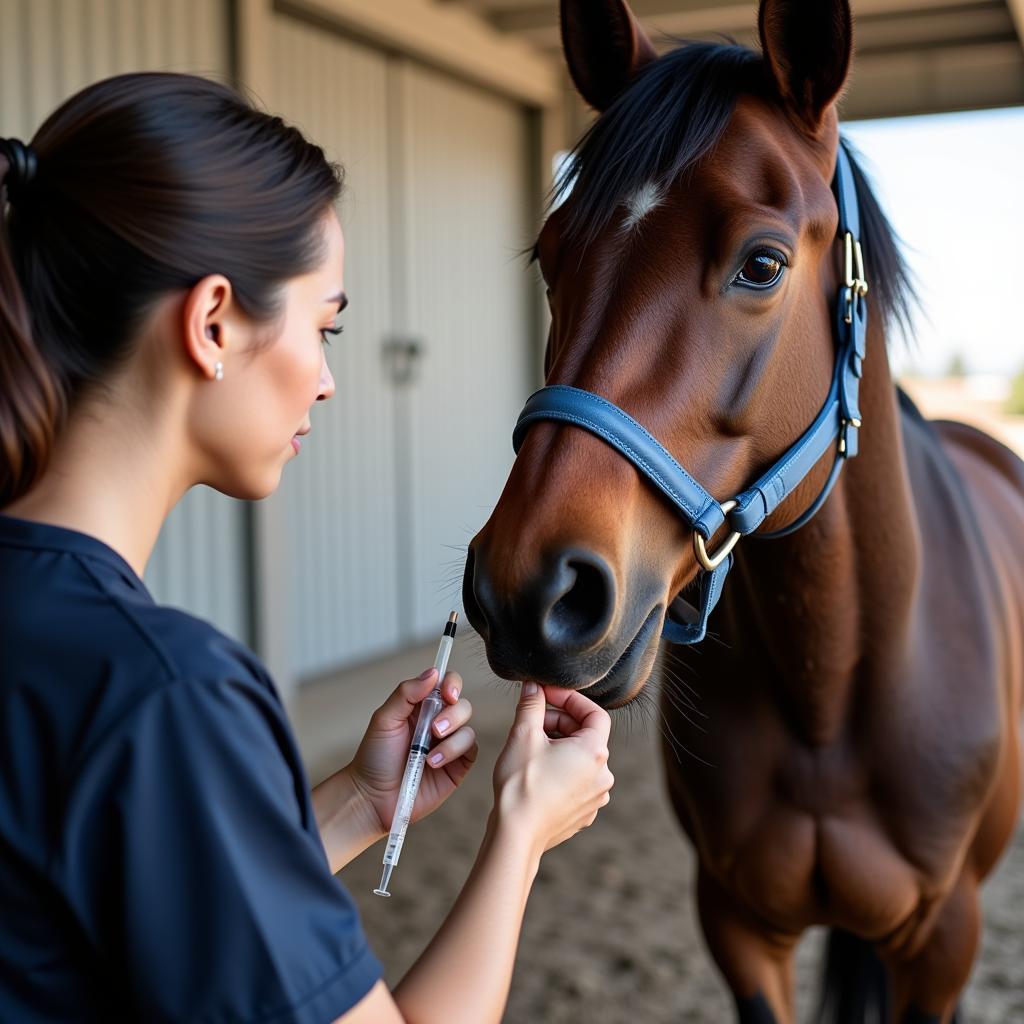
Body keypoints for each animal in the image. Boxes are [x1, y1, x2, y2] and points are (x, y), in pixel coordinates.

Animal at [462, 2, 1024, 1024]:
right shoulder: (735, 923)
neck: (830, 691)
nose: (530, 590)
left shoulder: (945, 942)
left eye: (762, 264)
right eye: (551, 257)